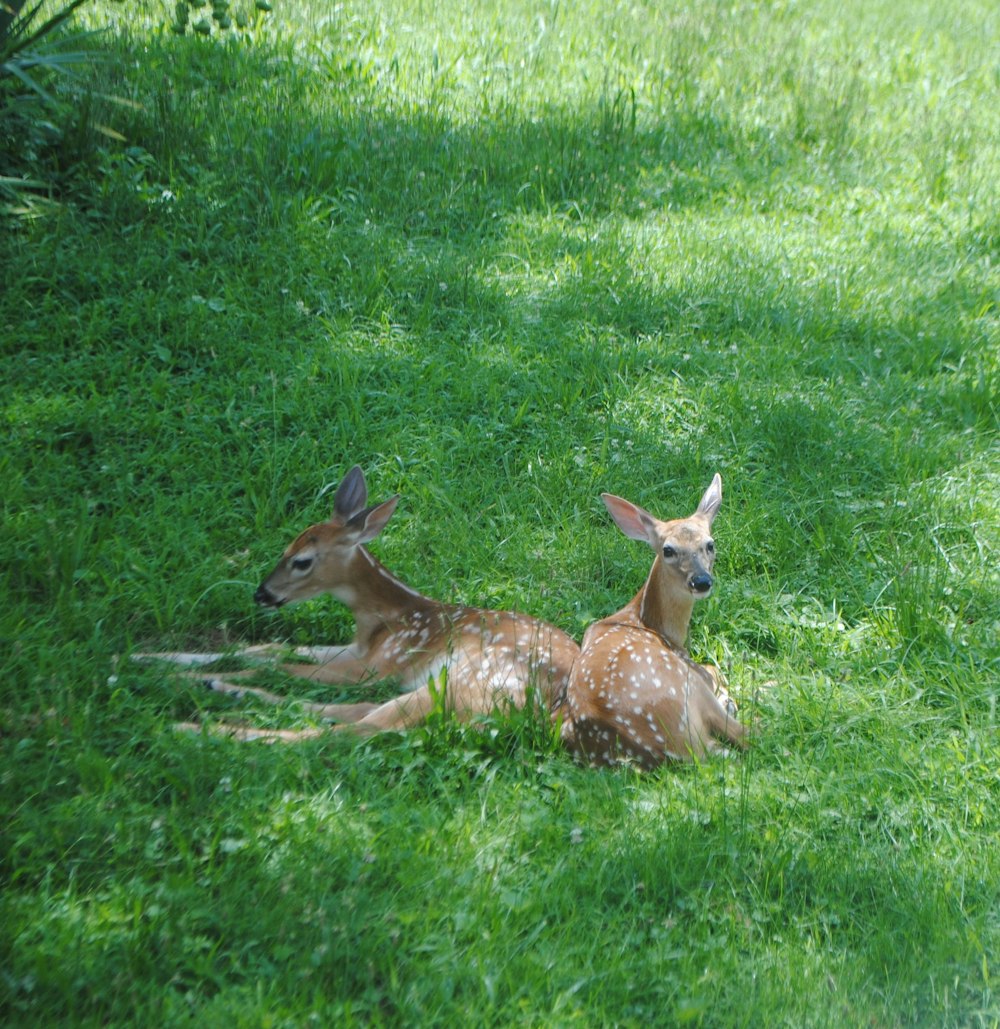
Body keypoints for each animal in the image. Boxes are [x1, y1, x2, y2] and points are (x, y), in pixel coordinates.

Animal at [139, 465, 576, 740]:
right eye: (285, 548)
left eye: (302, 560)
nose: (262, 593)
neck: (388, 620)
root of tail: (553, 711)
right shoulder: (357, 649)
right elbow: (269, 649)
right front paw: (153, 660)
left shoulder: (379, 665)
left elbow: (283, 665)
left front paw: (182, 676)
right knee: (355, 712)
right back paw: (222, 695)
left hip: (464, 682)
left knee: (354, 729)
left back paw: (196, 726)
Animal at [563, 471, 740, 765]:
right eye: (668, 550)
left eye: (710, 544)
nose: (701, 581)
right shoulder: (694, 668)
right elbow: (715, 671)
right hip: (687, 684)